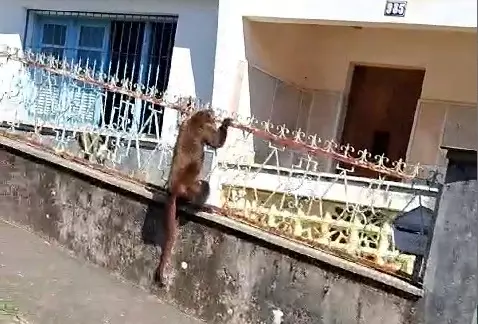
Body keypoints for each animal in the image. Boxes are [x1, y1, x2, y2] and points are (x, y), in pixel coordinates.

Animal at [153, 110, 233, 288]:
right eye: (212, 116)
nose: (214, 114)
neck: (195, 118)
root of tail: (175, 189)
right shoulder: (206, 128)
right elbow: (216, 142)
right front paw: (225, 123)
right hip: (190, 190)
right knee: (203, 187)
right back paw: (202, 207)